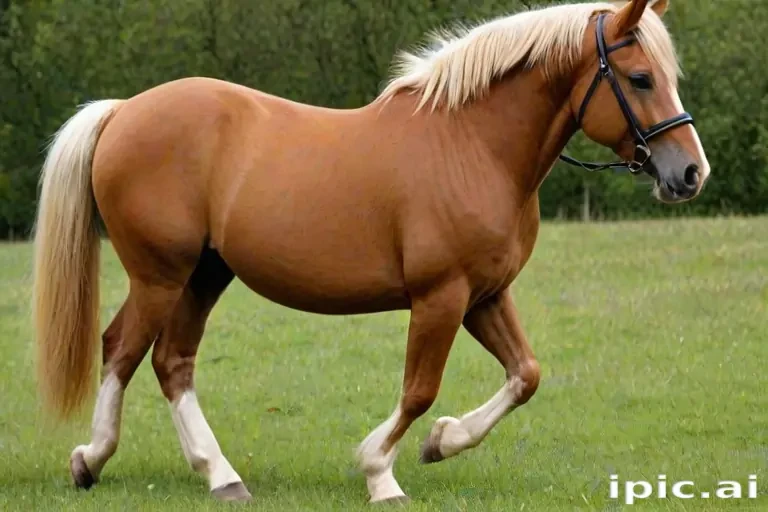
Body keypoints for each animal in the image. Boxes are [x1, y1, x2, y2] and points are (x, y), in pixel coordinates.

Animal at [32, 0, 710, 504]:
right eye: (641, 78)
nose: (690, 174)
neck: (473, 146)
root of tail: (123, 111)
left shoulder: (485, 295)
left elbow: (526, 375)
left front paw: (442, 442)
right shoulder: (441, 297)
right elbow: (419, 388)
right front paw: (380, 471)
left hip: (204, 274)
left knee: (170, 361)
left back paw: (218, 475)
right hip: (160, 275)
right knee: (122, 350)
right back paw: (92, 459)